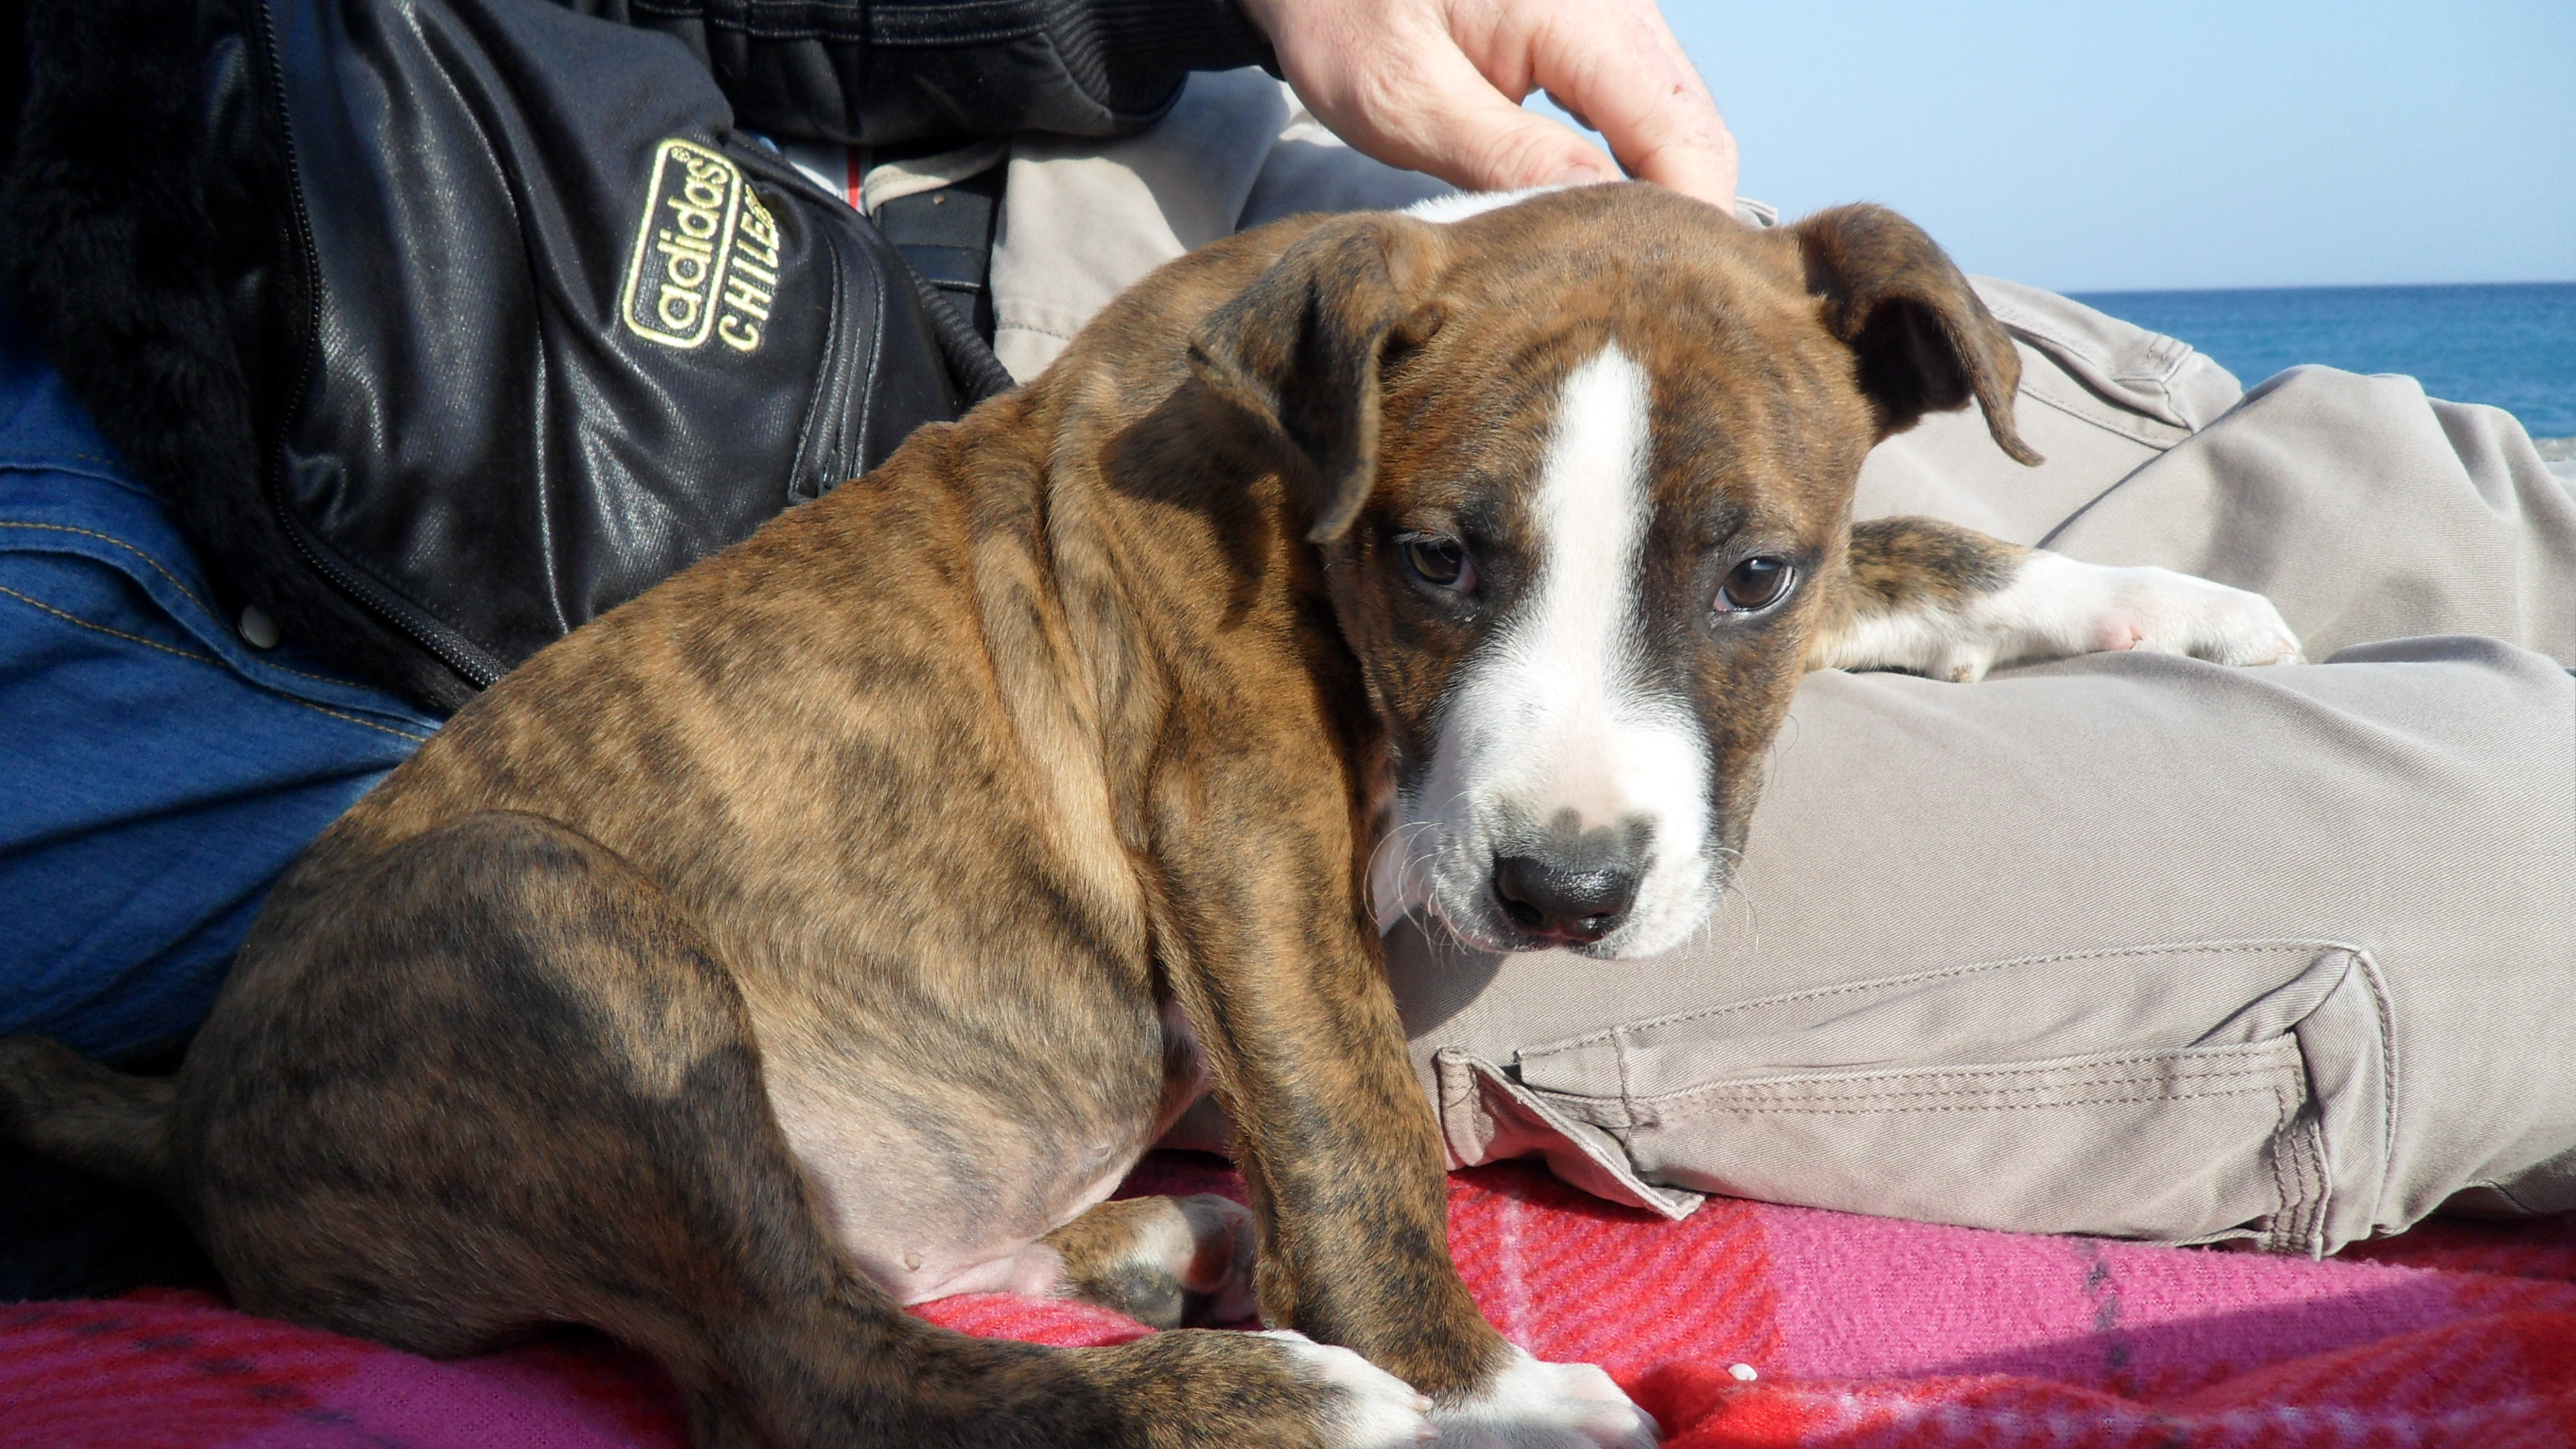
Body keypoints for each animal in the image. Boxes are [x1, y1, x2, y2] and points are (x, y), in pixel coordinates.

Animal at [2, 184, 2299, 1448]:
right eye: (1437, 563)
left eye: (1746, 574)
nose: (1561, 891)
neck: (1299, 459)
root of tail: (195, 1114)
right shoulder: (1239, 816)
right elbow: (1353, 1120)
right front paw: (1476, 1387)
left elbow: (1921, 551)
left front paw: (2175, 608)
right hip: (554, 928)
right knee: (804, 1371)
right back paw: (1323, 1407)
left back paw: (1164, 1247)